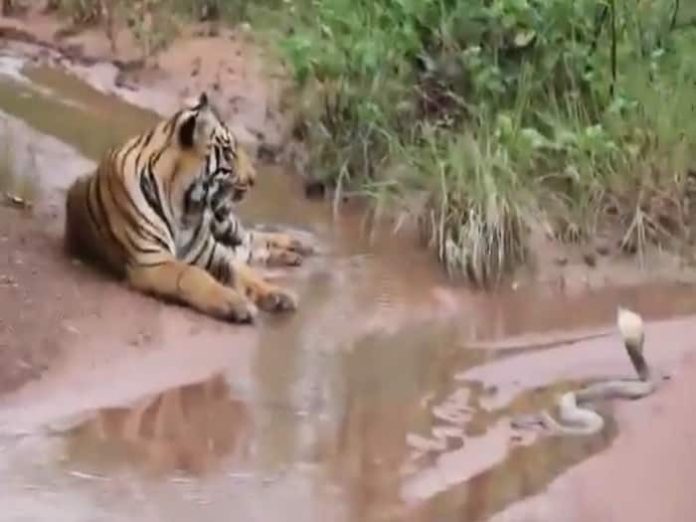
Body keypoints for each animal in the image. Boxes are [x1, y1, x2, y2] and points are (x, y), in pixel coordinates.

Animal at [64, 92, 313, 324]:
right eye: (229, 153)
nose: (254, 179)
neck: (186, 208)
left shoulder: (215, 254)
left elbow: (247, 275)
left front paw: (278, 294)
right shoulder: (152, 261)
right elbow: (195, 275)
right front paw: (237, 304)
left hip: (225, 223)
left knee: (250, 239)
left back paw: (297, 245)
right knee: (248, 249)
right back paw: (294, 254)